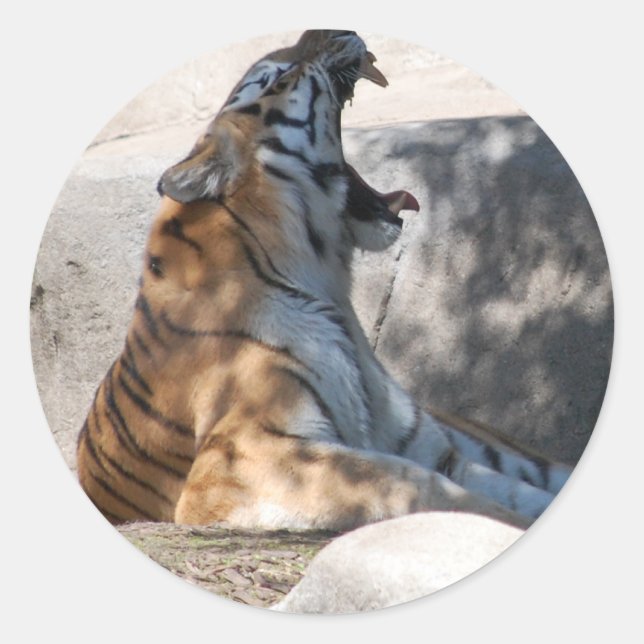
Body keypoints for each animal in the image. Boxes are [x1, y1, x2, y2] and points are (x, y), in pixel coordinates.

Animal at [76, 29, 572, 532]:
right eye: (276, 76)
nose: (335, 30)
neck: (326, 284)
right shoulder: (241, 458)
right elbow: (408, 483)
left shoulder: (433, 448)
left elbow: (510, 489)